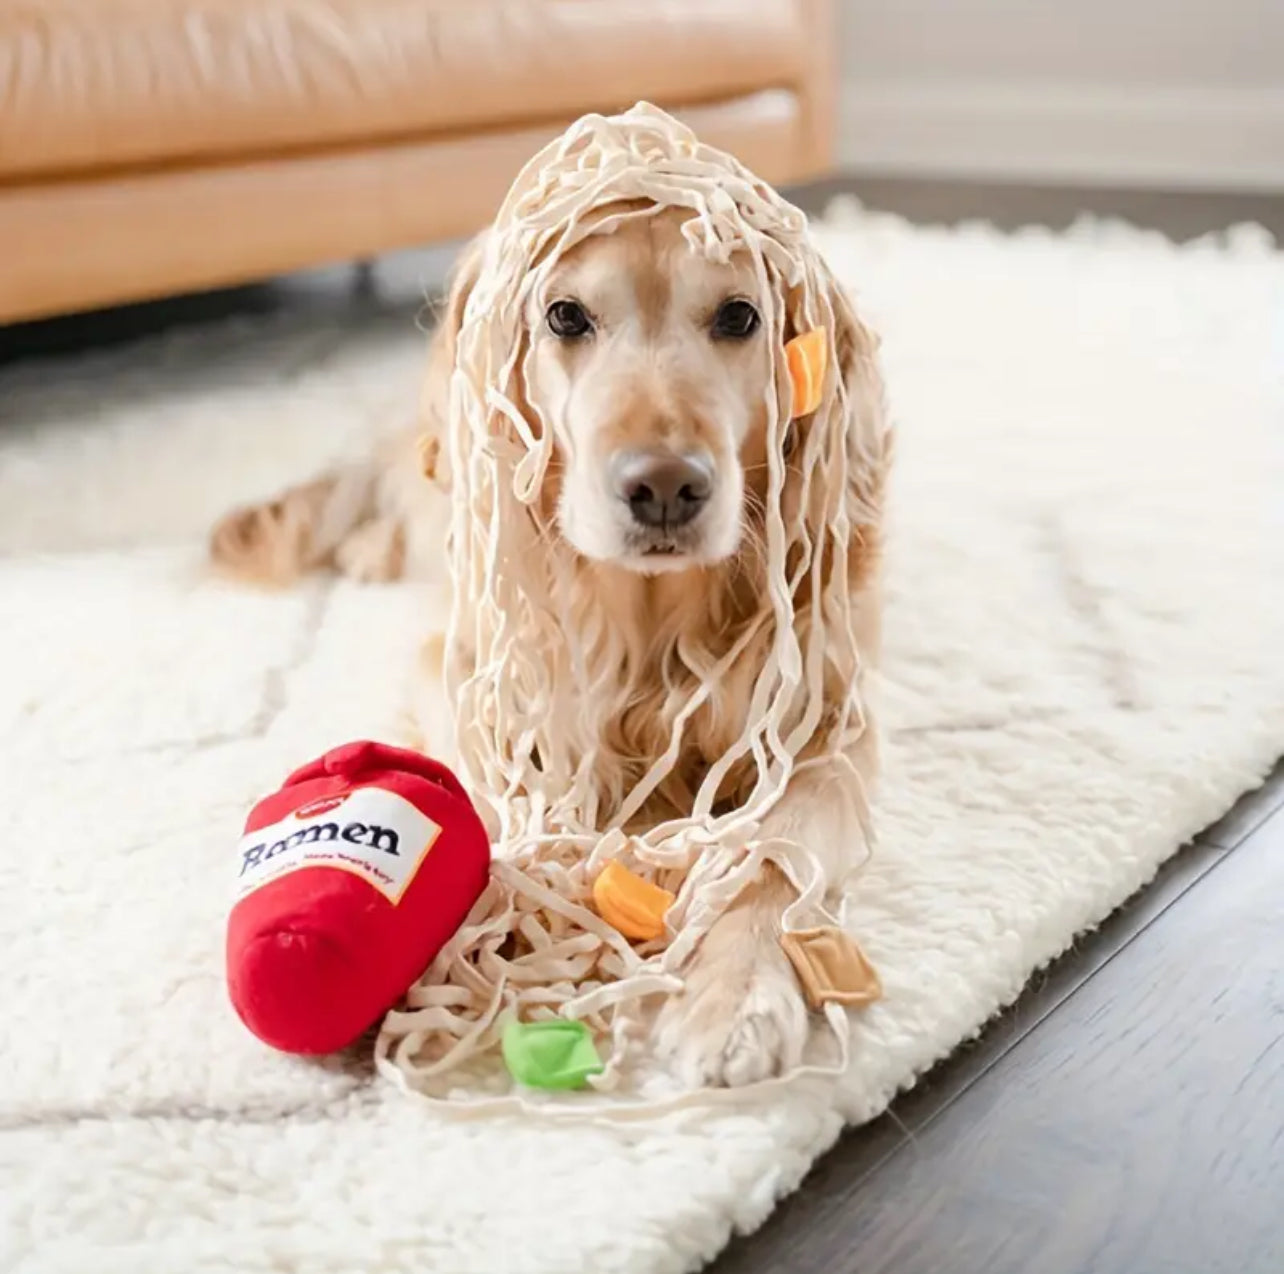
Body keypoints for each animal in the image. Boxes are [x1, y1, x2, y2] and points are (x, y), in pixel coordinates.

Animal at [213, 179, 893, 1089]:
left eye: (739, 316)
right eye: (566, 316)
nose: (665, 489)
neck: (649, 619)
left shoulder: (827, 729)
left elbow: (772, 852)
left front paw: (737, 993)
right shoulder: (463, 666)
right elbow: (496, 794)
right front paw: (512, 909)